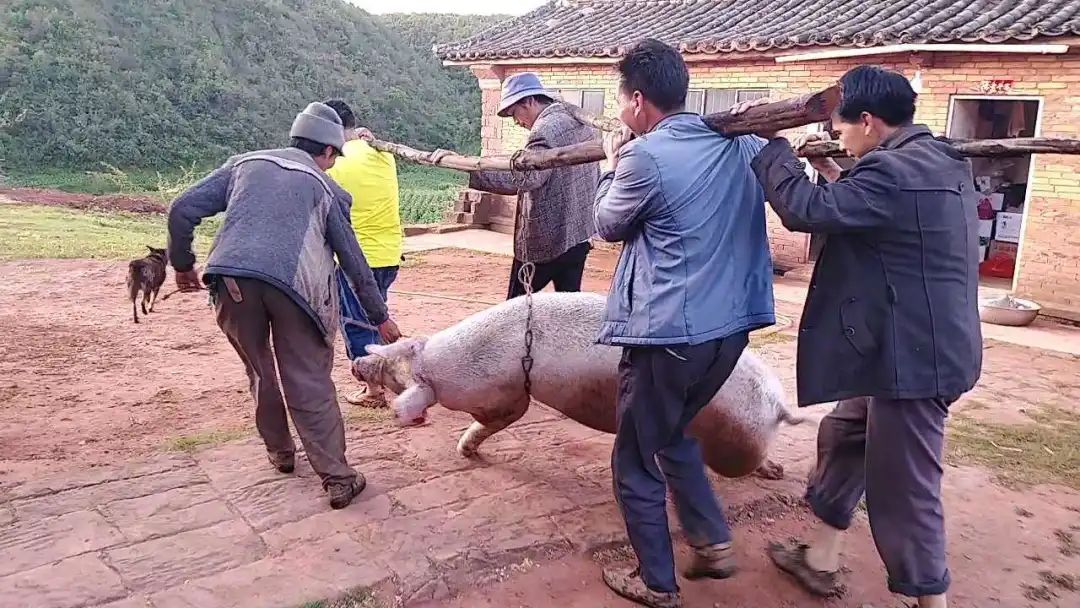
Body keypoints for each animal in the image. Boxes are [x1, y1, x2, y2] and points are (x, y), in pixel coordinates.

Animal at [354, 291, 803, 481]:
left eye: (396, 375)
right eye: (398, 348)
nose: (358, 363)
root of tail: (779, 407)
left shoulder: (507, 397)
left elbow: (495, 419)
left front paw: (464, 451)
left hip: (735, 444)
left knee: (746, 463)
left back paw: (774, 473)